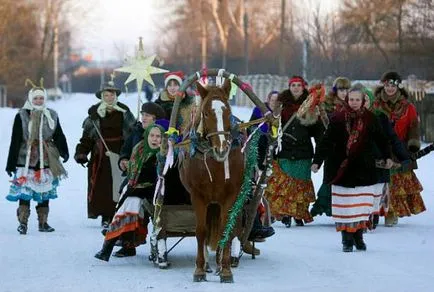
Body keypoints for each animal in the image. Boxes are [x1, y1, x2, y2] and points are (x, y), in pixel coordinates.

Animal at [177, 78, 244, 282]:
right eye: (206, 113)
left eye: (228, 111)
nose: (222, 148)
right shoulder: (198, 196)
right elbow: (201, 231)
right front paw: (199, 269)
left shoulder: (230, 195)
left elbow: (225, 230)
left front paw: (226, 269)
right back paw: (207, 264)